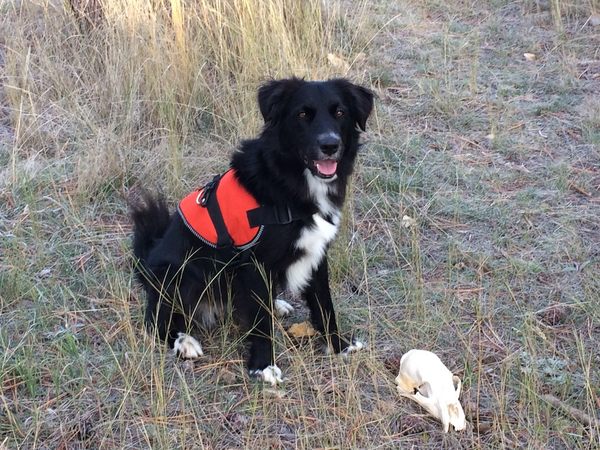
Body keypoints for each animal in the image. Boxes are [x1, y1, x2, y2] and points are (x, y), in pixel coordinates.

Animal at [132, 76, 376, 384]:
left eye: (340, 112)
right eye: (302, 115)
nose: (330, 145)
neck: (291, 183)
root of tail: (147, 263)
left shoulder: (316, 254)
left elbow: (324, 305)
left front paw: (338, 345)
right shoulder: (254, 264)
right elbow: (261, 323)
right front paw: (263, 366)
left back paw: (278, 304)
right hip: (183, 273)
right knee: (156, 321)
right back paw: (184, 341)